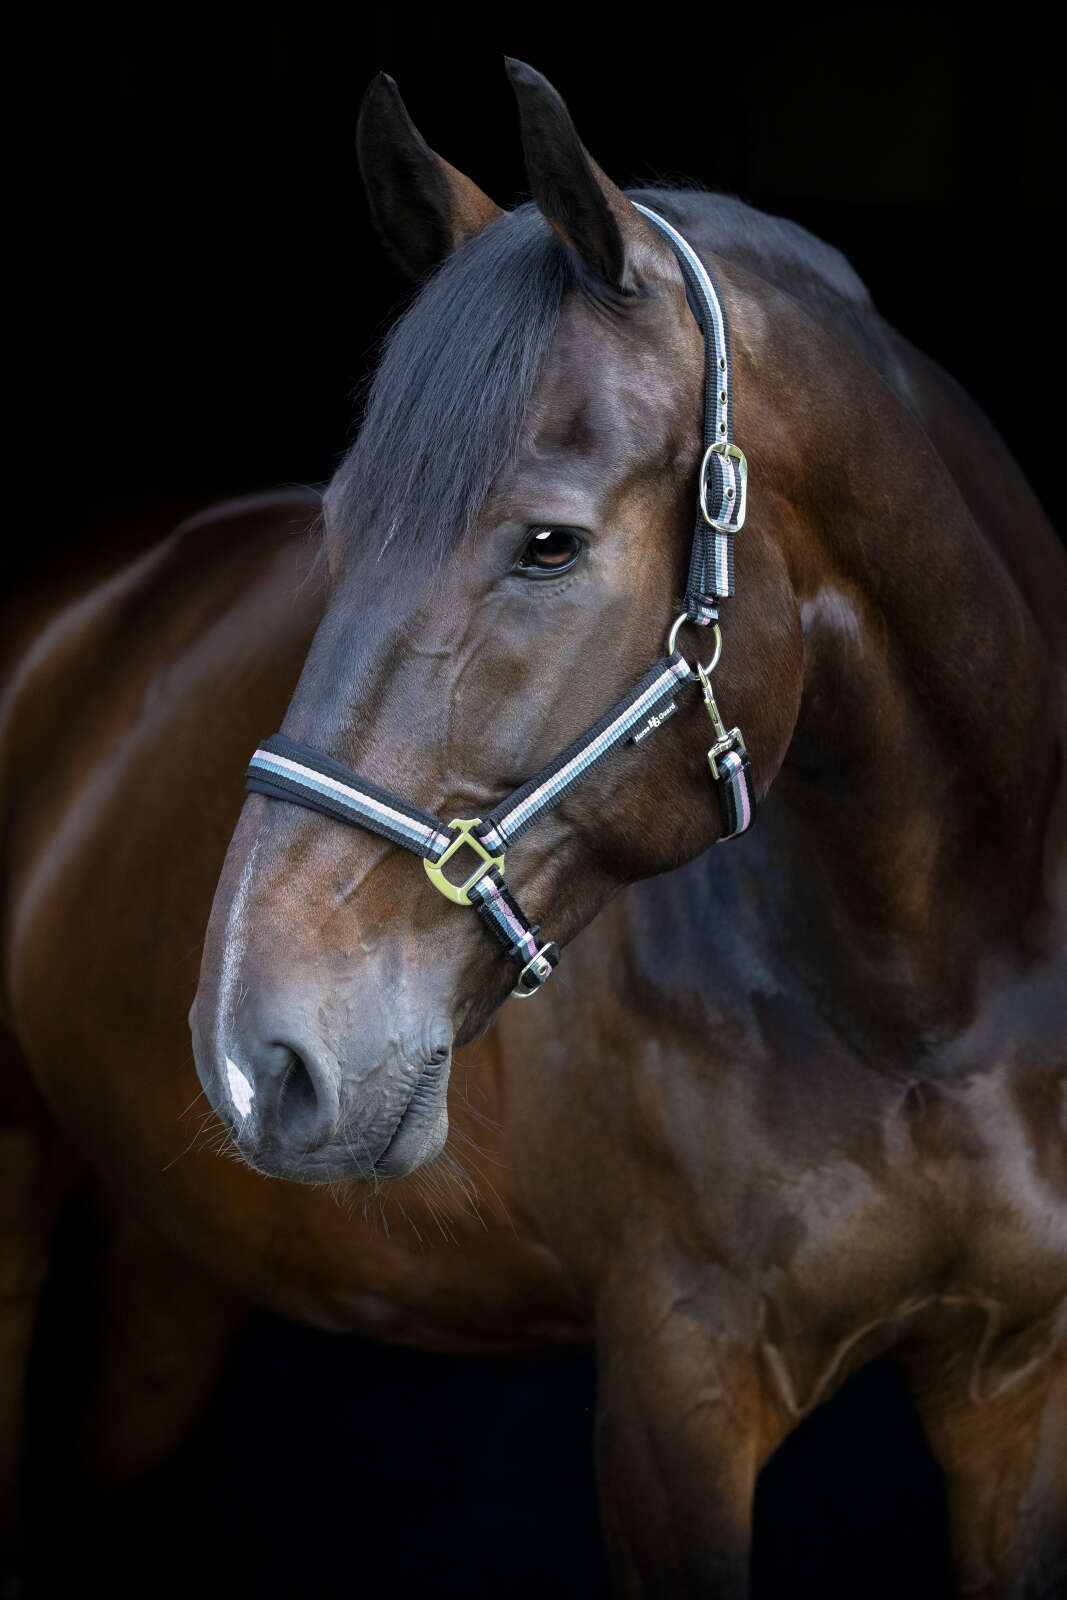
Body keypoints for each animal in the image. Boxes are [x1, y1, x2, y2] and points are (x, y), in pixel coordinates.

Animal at [2, 57, 1066, 1598]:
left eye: (548, 544)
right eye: (337, 524)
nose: (258, 1053)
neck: (937, 993)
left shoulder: (1016, 1384)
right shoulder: (674, 1393)